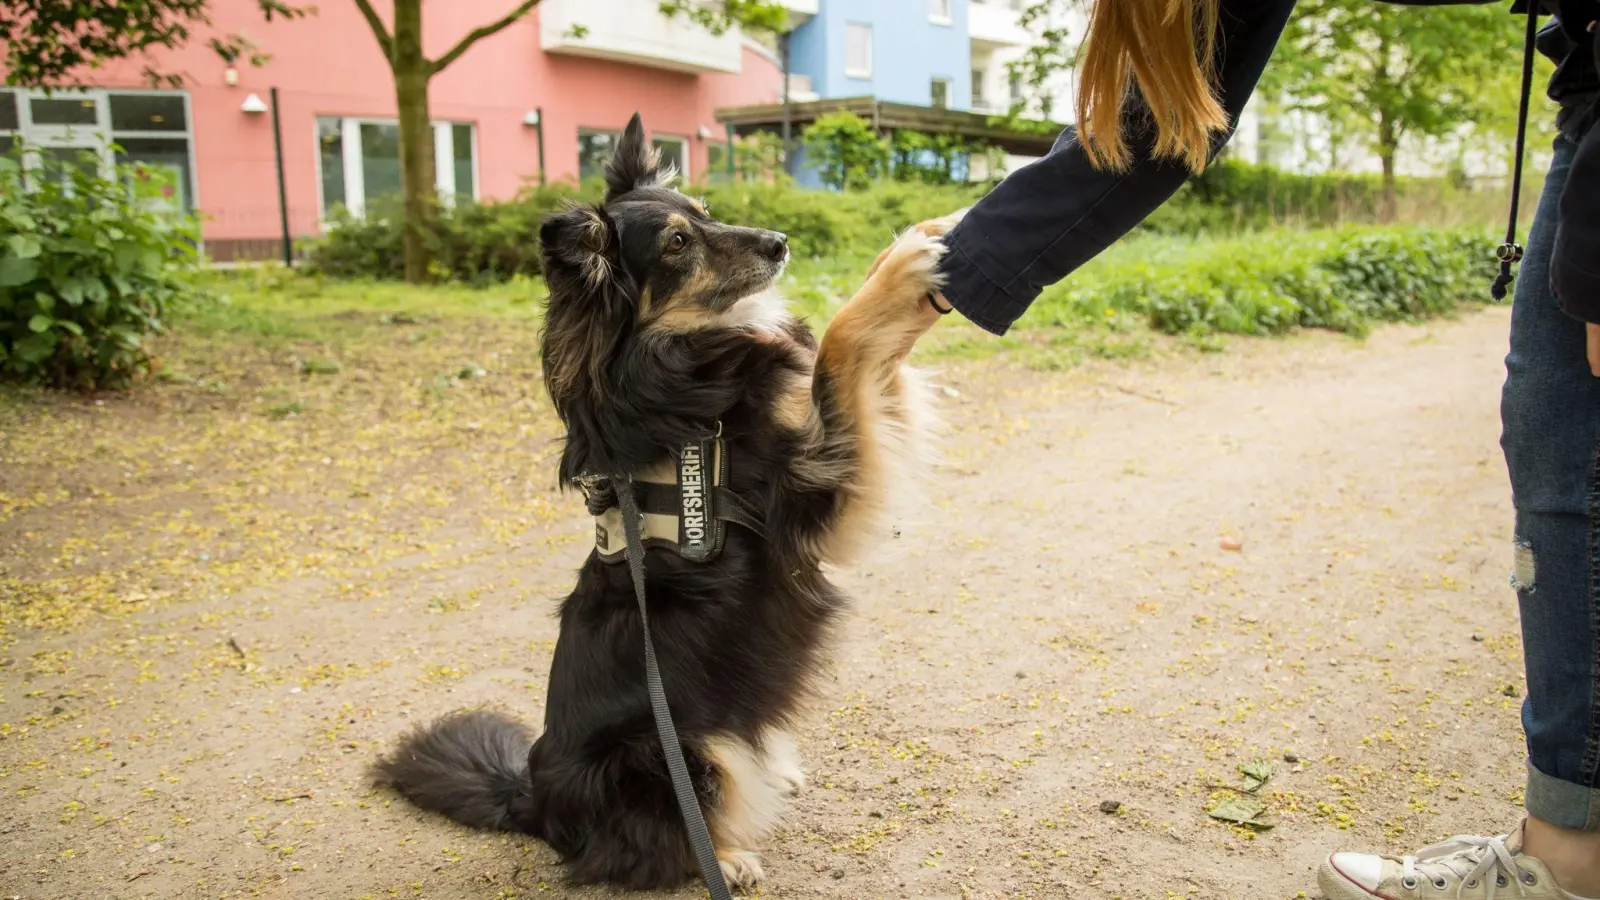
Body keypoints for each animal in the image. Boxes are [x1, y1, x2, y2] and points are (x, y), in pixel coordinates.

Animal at [368, 113, 953, 890]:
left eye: (705, 212)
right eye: (678, 243)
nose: (779, 242)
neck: (669, 369)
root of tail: (534, 803)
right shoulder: (809, 494)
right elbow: (839, 347)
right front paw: (903, 266)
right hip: (671, 751)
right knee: (658, 840)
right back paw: (727, 855)